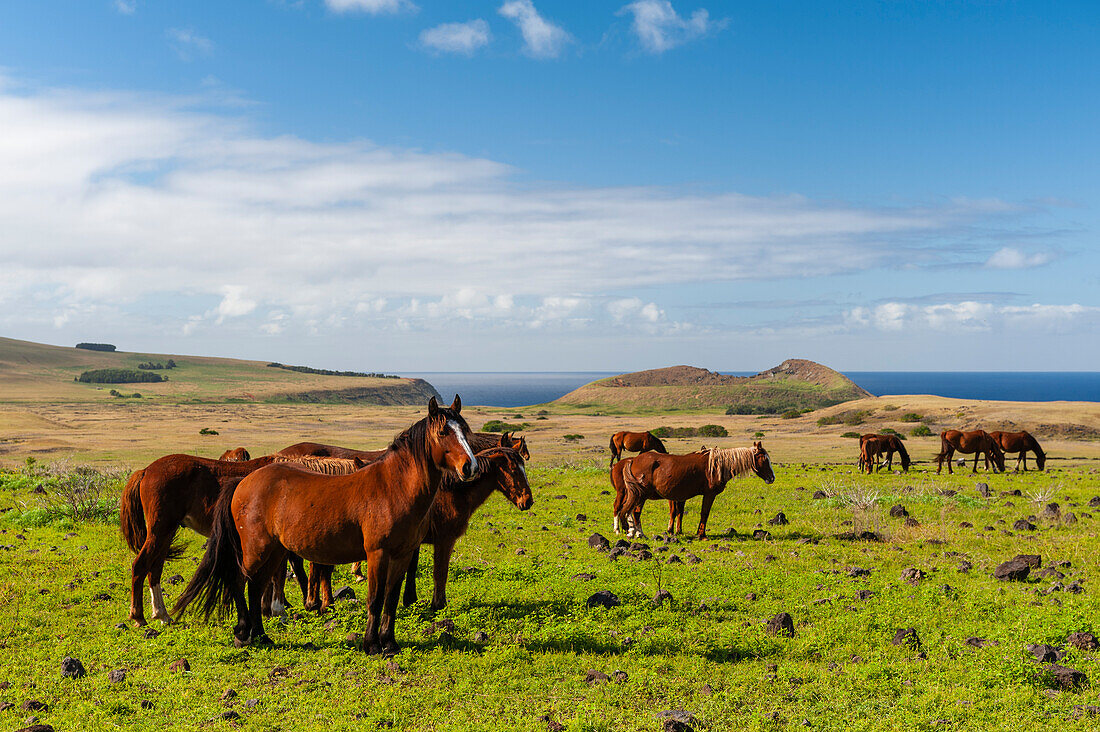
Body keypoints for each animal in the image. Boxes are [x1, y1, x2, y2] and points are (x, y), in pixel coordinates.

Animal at [172, 396, 477, 651]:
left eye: (465, 430)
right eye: (443, 432)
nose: (470, 467)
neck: (392, 487)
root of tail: (243, 481)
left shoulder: (402, 555)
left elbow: (390, 599)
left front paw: (389, 643)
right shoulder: (377, 554)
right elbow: (375, 599)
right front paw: (372, 644)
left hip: (274, 551)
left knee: (256, 586)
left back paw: (261, 636)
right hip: (255, 550)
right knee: (239, 581)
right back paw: (243, 634)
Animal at [308, 444, 534, 612]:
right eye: (514, 469)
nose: (528, 501)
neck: (452, 491)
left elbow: (412, 569)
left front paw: (410, 599)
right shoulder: (444, 540)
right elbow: (440, 572)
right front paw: (438, 604)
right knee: (323, 568)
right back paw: (325, 603)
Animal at [620, 440, 774, 537]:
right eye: (764, 459)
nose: (772, 478)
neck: (717, 466)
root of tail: (633, 460)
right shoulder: (709, 494)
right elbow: (704, 513)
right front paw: (701, 534)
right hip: (641, 495)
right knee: (635, 513)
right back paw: (640, 534)